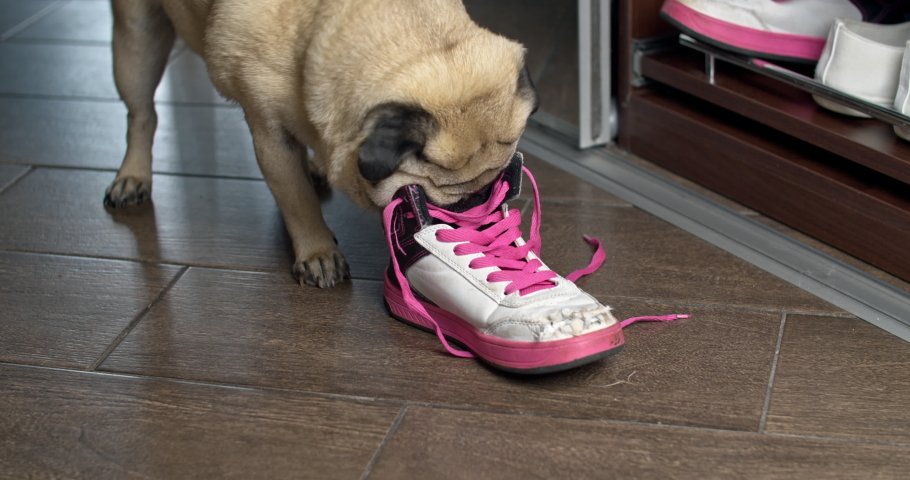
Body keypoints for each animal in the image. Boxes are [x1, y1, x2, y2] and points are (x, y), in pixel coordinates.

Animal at [104, 0, 536, 284]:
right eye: (447, 206)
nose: (478, 215)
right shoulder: (270, 135)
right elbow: (297, 200)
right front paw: (318, 252)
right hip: (137, 38)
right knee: (142, 115)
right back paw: (132, 176)